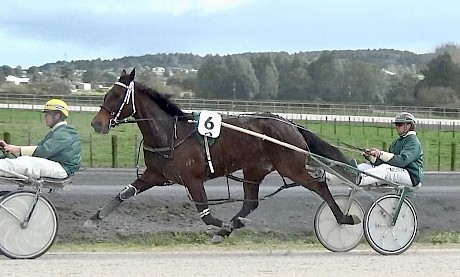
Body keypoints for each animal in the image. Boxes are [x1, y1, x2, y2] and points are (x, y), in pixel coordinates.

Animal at [85, 68, 360, 240]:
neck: (169, 134)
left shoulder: (193, 180)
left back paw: (343, 219)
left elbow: (206, 215)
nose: (97, 123)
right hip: (254, 170)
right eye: (106, 93)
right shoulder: (155, 174)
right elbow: (124, 193)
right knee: (250, 203)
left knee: (320, 186)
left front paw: (223, 225)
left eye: (117, 95)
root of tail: (289, 123)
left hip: (291, 167)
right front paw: (95, 217)